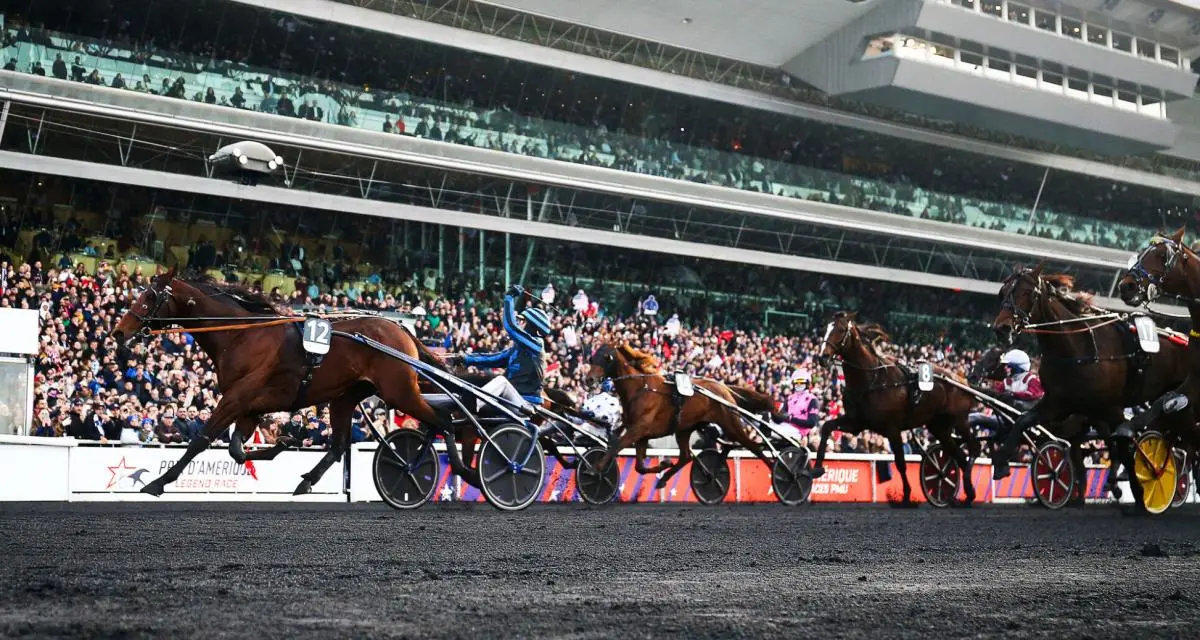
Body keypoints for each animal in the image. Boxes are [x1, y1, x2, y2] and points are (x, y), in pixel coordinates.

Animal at [111, 267, 468, 494]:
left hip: (399, 391)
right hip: (346, 397)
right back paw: (307, 480)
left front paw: (158, 483)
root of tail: (402, 330)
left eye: (149, 297)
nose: (118, 332)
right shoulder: (251, 406)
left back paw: (461, 469)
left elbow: (201, 440)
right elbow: (236, 450)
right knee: (338, 445)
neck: (241, 336)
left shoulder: (236, 398)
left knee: (444, 419)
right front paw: (281, 444)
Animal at [583, 343, 772, 489]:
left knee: (754, 446)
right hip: (684, 429)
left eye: (606, 357)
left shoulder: (638, 429)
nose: (589, 380)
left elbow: (617, 446)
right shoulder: (641, 435)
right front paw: (663, 465)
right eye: (592, 358)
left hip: (730, 424)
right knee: (686, 456)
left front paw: (594, 469)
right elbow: (639, 467)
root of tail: (724, 388)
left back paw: (777, 471)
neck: (640, 388)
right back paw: (666, 479)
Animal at [811, 312, 979, 506]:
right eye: (826, 328)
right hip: (939, 427)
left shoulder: (892, 428)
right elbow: (826, 427)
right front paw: (817, 468)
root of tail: (961, 380)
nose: (822, 357)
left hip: (960, 420)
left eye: (840, 329)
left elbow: (900, 462)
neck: (872, 379)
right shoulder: (856, 423)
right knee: (959, 455)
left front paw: (906, 496)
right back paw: (962, 491)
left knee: (973, 449)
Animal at [993, 260, 1190, 509]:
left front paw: (1139, 491)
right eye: (1002, 292)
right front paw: (1001, 462)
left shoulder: (1111, 409)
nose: (1002, 328)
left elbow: (1123, 448)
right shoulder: (1060, 403)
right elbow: (1023, 421)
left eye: (1027, 292)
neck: (1077, 348)